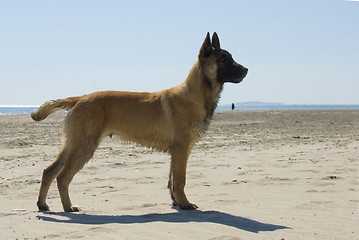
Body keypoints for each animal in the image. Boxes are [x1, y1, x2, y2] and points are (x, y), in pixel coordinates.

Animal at [31, 32, 248, 212]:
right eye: (222, 59)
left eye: (230, 57)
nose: (246, 69)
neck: (196, 94)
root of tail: (79, 98)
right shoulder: (182, 149)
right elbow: (180, 180)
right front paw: (185, 204)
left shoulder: (176, 152)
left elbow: (172, 181)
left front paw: (176, 202)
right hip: (84, 147)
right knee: (62, 177)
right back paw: (68, 207)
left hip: (73, 145)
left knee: (49, 171)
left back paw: (42, 204)